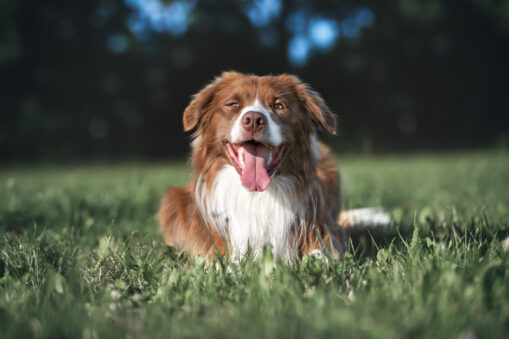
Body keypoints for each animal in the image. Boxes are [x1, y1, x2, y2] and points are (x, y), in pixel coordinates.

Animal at [159, 73, 388, 262]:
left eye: (279, 105)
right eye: (233, 104)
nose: (253, 119)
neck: (257, 195)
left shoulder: (326, 228)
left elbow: (321, 252)